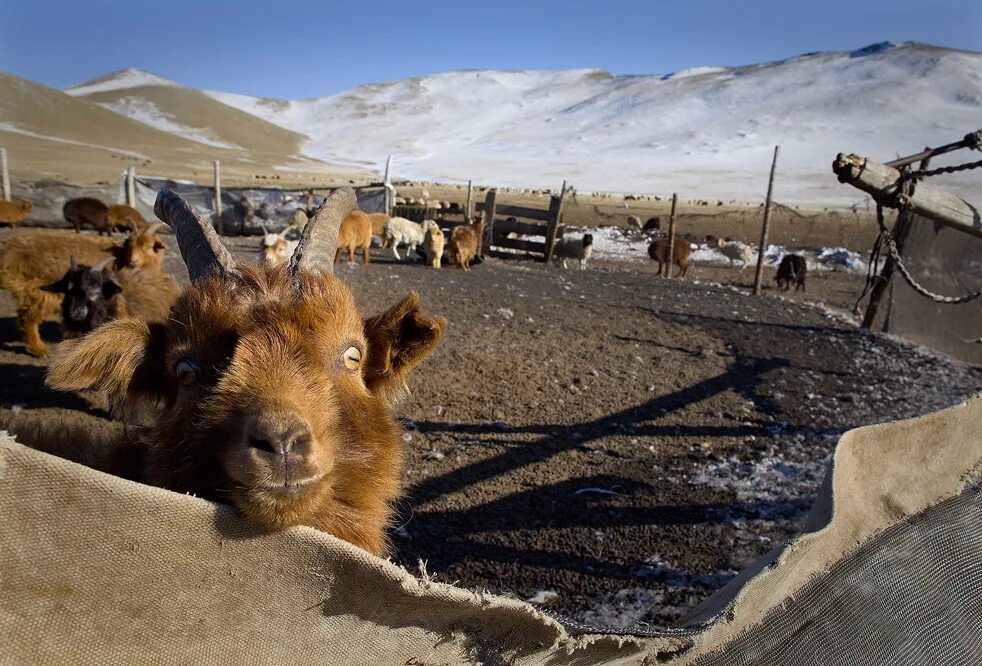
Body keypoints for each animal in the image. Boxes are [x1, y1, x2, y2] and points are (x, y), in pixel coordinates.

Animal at [0, 222, 168, 358]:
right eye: (130, 244)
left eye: (149, 247)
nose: (133, 261)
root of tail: (8, 254)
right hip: (38, 292)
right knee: (28, 319)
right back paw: (39, 349)